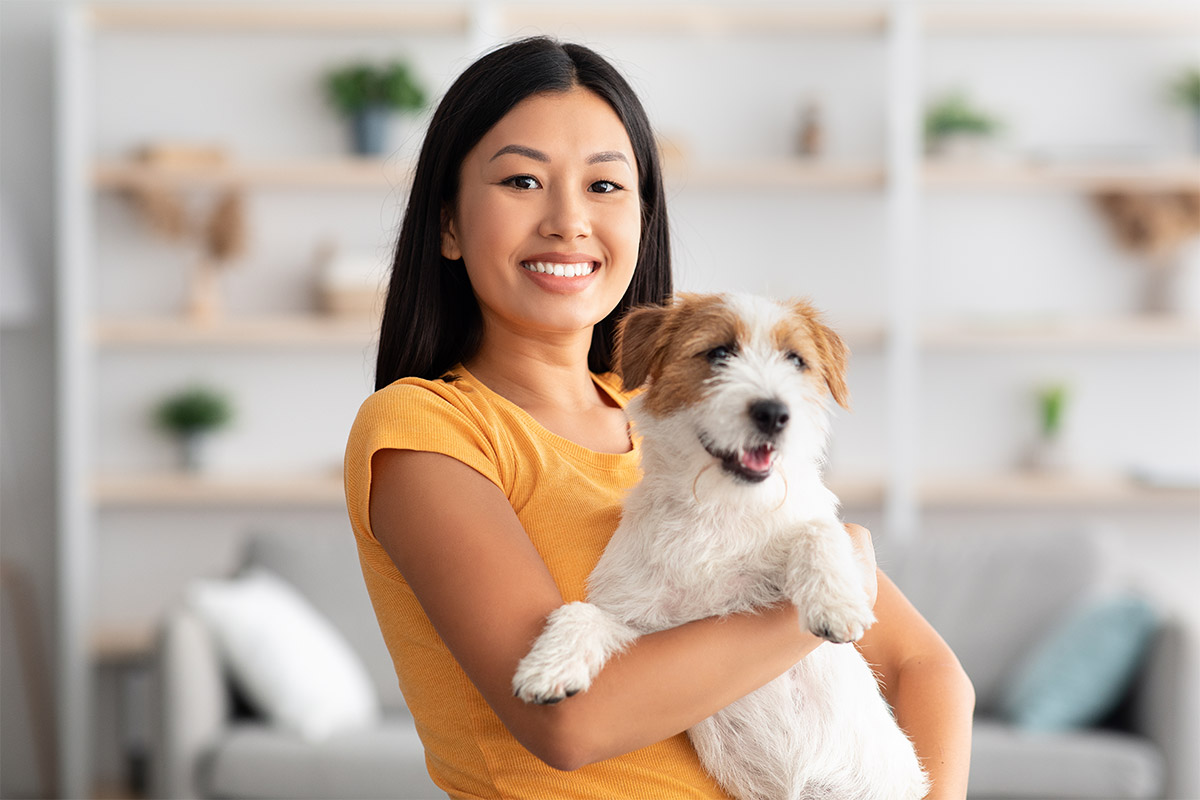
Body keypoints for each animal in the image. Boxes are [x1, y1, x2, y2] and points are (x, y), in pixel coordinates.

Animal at [511, 293, 931, 800]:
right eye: (718, 353)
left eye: (796, 360)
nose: (774, 412)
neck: (719, 507)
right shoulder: (638, 622)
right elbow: (581, 613)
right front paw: (546, 668)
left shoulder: (809, 530)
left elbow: (816, 530)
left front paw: (835, 604)